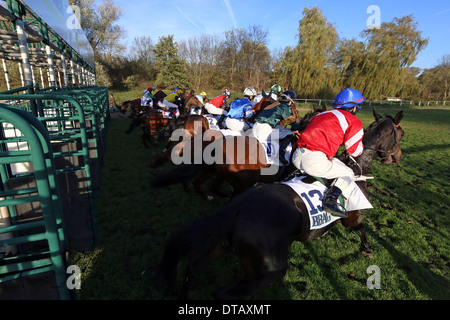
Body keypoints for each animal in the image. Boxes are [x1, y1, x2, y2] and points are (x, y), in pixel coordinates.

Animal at [157, 109, 404, 300]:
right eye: (400, 134)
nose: (398, 156)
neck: (356, 168)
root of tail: (238, 209)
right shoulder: (351, 217)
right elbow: (362, 228)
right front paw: (367, 249)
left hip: (223, 230)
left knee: (193, 268)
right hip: (267, 266)